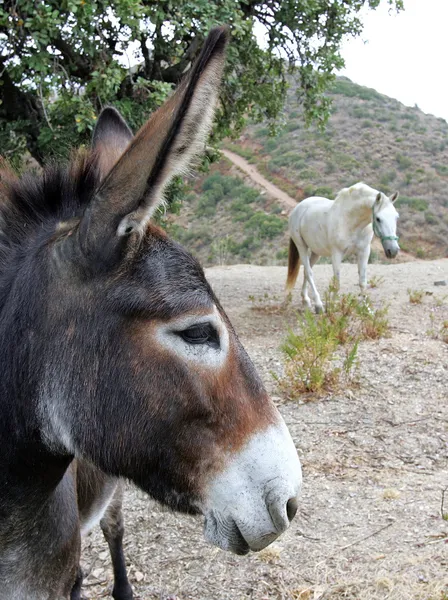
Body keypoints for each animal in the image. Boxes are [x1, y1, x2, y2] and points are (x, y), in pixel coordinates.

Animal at [286, 183, 400, 314]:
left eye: (396, 217)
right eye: (378, 219)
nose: (393, 250)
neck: (350, 220)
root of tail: (298, 207)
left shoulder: (364, 252)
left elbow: (362, 282)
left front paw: (367, 309)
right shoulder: (336, 254)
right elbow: (337, 283)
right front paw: (333, 307)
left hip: (316, 252)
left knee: (306, 271)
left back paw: (306, 300)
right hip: (302, 247)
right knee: (309, 272)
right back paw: (318, 305)